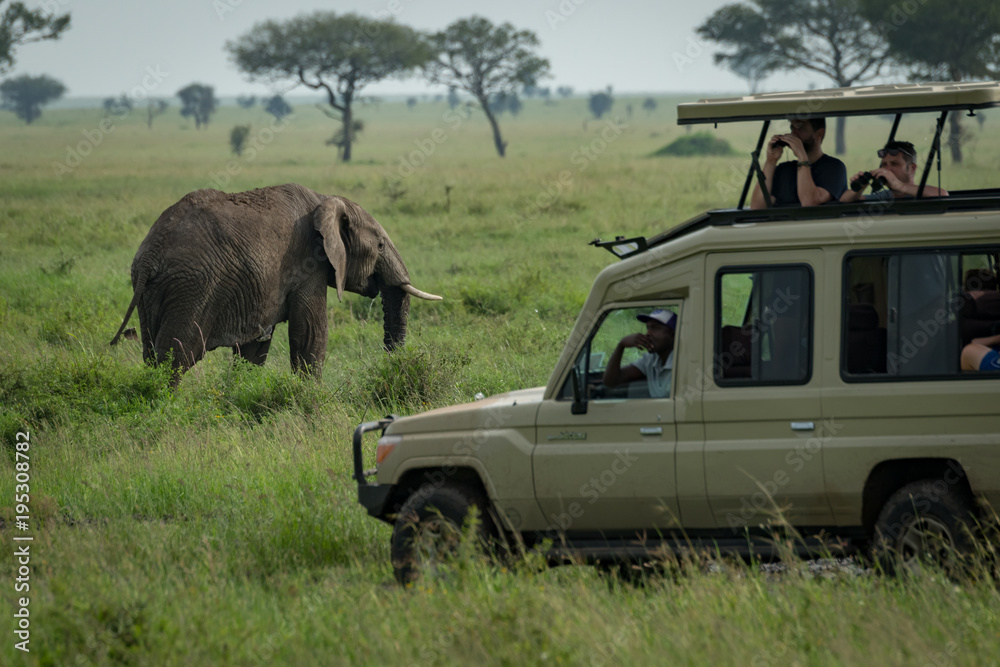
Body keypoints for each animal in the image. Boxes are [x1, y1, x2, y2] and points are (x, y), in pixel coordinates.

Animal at [109, 183, 441, 384]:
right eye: (381, 245)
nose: (391, 364)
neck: (325, 200)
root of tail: (151, 254)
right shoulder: (308, 262)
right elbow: (310, 333)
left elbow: (254, 348)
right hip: (192, 289)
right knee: (174, 356)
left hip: (151, 294)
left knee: (152, 354)